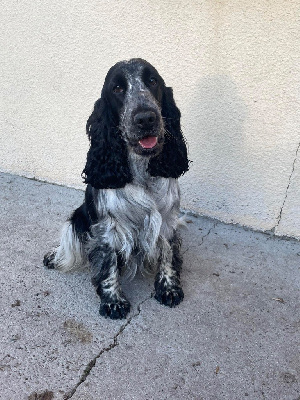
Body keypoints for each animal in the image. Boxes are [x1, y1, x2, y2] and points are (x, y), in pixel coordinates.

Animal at [43, 58, 189, 318]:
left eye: (153, 81)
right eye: (118, 88)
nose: (146, 118)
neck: (141, 171)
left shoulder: (168, 219)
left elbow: (168, 253)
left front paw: (169, 288)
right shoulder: (107, 227)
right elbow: (108, 261)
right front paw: (113, 301)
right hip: (78, 218)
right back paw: (54, 255)